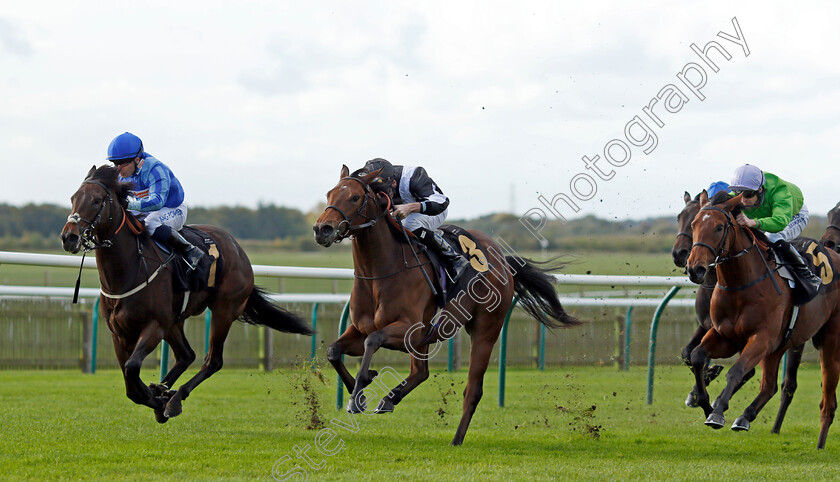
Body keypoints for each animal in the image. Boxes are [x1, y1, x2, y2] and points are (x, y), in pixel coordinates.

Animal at [60, 166, 312, 422]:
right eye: (73, 198)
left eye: (96, 200)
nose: (69, 237)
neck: (129, 269)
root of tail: (238, 249)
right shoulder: (119, 334)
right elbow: (131, 382)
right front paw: (156, 396)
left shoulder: (154, 326)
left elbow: (132, 371)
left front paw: (160, 401)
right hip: (175, 320)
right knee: (186, 355)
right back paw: (164, 390)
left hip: (223, 311)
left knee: (212, 361)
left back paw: (174, 398)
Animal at [312, 165, 580, 444]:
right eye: (329, 194)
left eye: (354, 197)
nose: (322, 229)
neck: (380, 272)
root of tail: (503, 261)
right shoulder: (362, 329)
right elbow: (334, 350)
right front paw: (359, 391)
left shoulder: (410, 330)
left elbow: (372, 341)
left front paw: (359, 391)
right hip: (429, 339)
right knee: (421, 371)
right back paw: (389, 400)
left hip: (485, 330)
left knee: (472, 389)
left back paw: (456, 439)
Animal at [684, 191, 840, 448]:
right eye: (694, 224)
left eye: (719, 227)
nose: (694, 269)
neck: (741, 284)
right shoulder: (725, 336)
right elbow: (697, 356)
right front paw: (706, 403)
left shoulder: (761, 338)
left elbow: (736, 371)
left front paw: (718, 412)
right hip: (781, 345)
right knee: (770, 386)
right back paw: (745, 417)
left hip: (828, 343)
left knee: (827, 400)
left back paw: (820, 444)